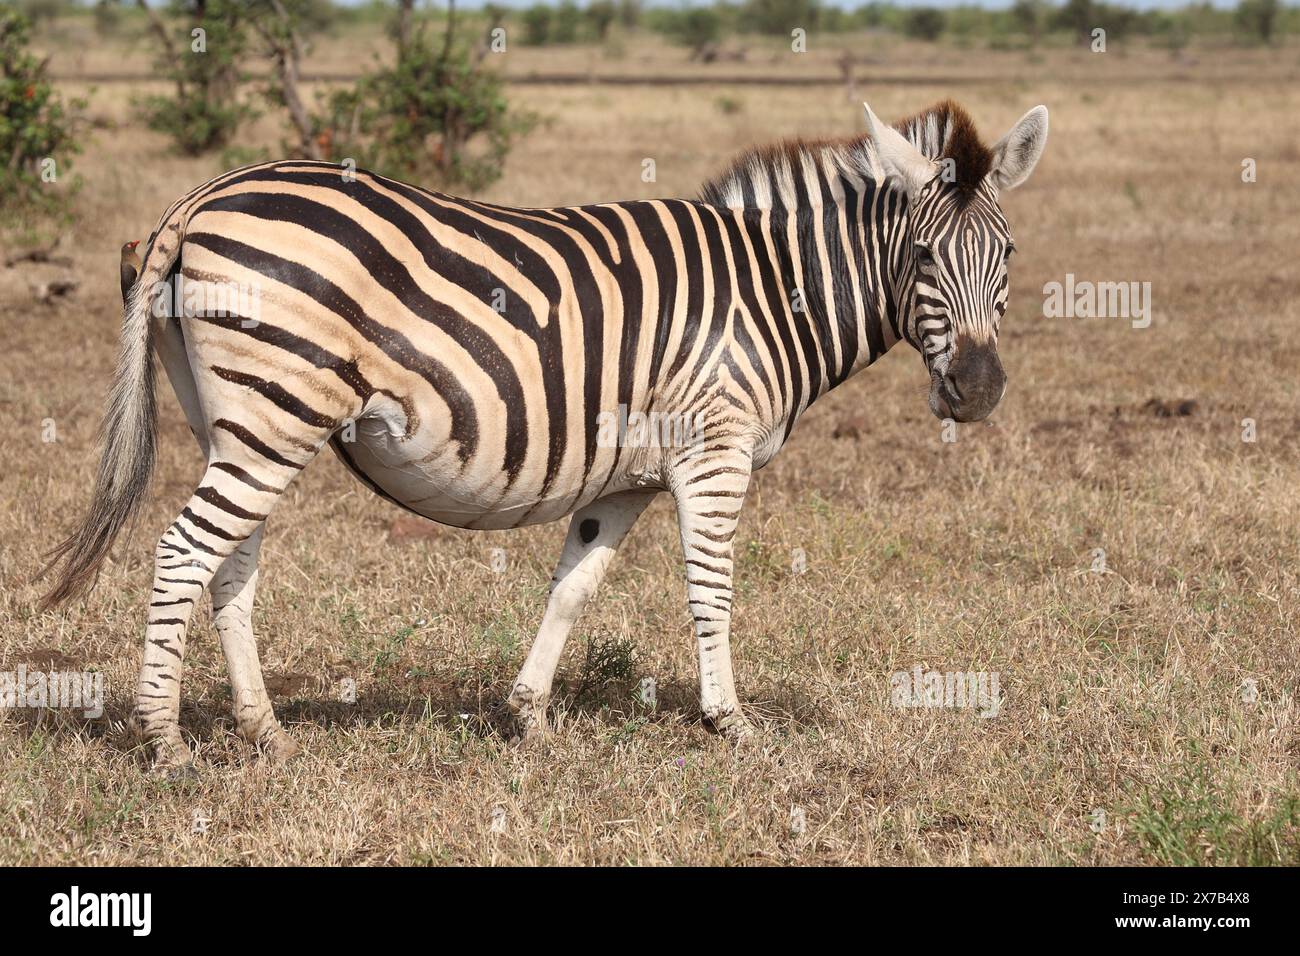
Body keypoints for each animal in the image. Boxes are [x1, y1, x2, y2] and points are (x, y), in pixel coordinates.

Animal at [41, 99, 1048, 769]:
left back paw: (265, 732)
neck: (773, 288)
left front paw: (527, 715)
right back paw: (166, 744)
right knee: (183, 552)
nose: (979, 392)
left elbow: (574, 588)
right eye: (922, 256)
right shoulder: (715, 452)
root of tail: (199, 199)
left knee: (229, 563)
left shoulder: (626, 477)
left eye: (1007, 256)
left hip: (242, 417)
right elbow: (712, 593)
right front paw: (730, 721)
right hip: (273, 410)